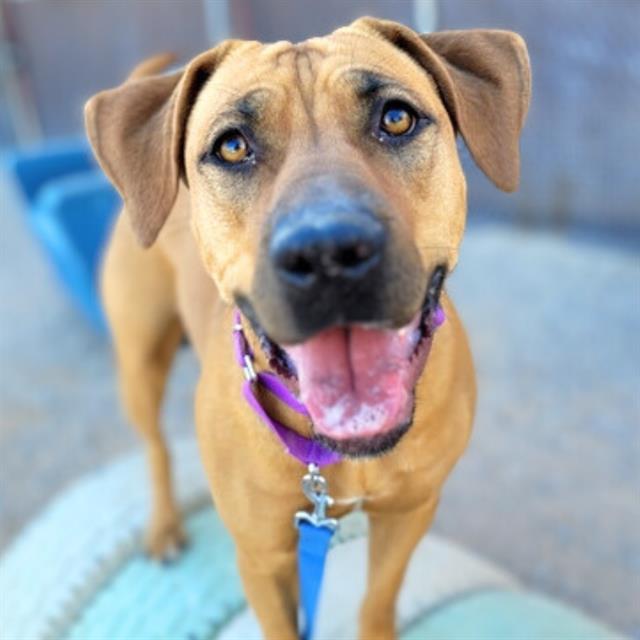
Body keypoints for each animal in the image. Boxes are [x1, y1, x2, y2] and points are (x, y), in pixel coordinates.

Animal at [85, 18, 528, 640]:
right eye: (232, 147)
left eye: (396, 118)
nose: (327, 253)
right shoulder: (263, 557)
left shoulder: (411, 512)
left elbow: (378, 600)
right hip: (140, 361)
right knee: (154, 447)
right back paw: (165, 523)